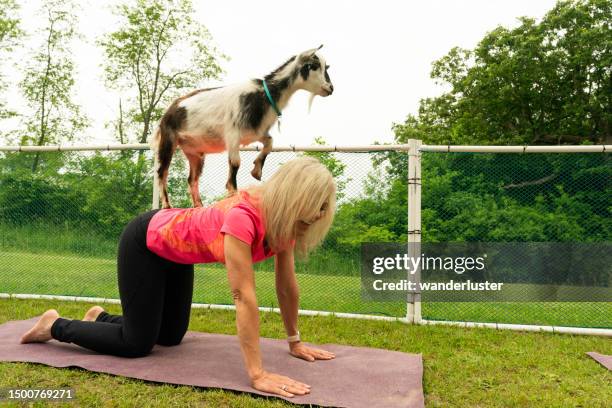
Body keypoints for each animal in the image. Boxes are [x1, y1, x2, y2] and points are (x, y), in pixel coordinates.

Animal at [152, 46, 334, 209]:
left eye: (326, 67)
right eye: (313, 66)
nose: (330, 88)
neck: (263, 96)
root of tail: (169, 111)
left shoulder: (256, 133)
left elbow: (270, 144)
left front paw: (256, 170)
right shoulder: (233, 135)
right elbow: (235, 163)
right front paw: (233, 193)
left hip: (195, 152)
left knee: (192, 179)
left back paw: (198, 206)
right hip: (168, 141)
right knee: (162, 172)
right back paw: (167, 205)